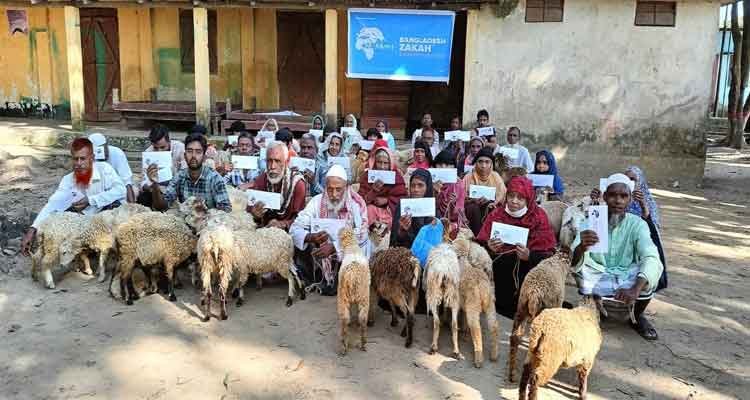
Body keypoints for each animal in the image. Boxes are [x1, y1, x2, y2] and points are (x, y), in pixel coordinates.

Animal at [452, 238, 500, 368]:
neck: (463, 263)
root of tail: (482, 288)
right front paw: (464, 331)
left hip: (473, 306)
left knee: (476, 328)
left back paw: (478, 359)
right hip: (490, 304)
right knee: (494, 326)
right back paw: (494, 355)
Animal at [512, 250, 576, 382]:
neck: (558, 260)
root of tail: (534, 292)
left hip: (521, 308)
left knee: (514, 338)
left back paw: (512, 375)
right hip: (542, 319)